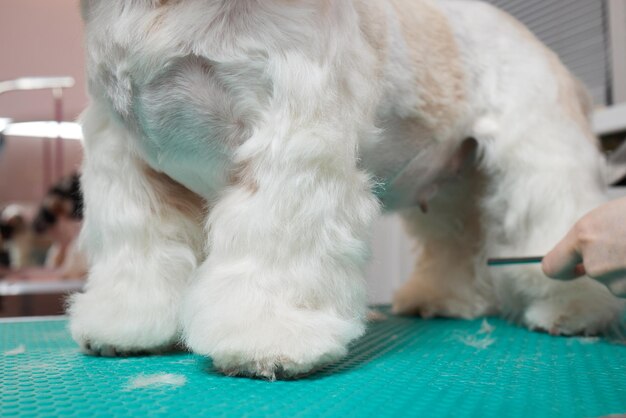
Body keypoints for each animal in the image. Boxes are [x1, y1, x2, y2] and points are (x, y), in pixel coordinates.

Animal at [70, 0, 620, 378]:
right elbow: (139, 249)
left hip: (540, 159)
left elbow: (275, 250)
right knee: (456, 241)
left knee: (551, 219)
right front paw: (127, 323)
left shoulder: (291, 135)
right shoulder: (121, 152)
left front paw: (267, 338)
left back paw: (575, 308)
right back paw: (443, 298)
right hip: (450, 187)